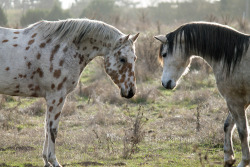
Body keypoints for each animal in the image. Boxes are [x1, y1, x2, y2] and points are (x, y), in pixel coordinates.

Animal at [0, 18, 139, 166]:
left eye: (134, 58)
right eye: (122, 59)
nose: (131, 91)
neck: (64, 50)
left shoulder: (51, 99)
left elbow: (46, 129)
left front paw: (46, 161)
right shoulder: (56, 97)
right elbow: (52, 130)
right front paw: (53, 161)